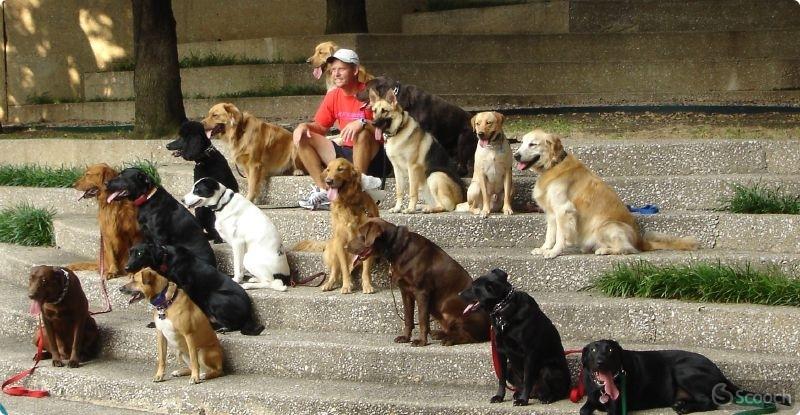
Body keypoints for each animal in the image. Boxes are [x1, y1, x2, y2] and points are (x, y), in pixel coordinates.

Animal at [122, 242, 262, 336]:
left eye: (140, 253)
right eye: (130, 253)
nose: (126, 268)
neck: (165, 260)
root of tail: (249, 313)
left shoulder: (185, 287)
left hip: (215, 296)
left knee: (233, 324)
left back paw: (220, 328)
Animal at [348, 218, 490, 348]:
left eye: (361, 234)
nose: (345, 247)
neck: (398, 247)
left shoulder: (422, 292)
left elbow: (422, 320)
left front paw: (422, 341)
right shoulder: (405, 292)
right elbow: (408, 318)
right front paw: (406, 337)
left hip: (457, 310)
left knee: (469, 336)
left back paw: (449, 340)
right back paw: (439, 334)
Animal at [460, 270, 572, 406]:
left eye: (474, 288)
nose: (458, 294)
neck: (503, 311)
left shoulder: (529, 353)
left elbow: (528, 379)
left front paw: (523, 400)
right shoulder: (500, 352)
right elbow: (501, 379)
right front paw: (499, 396)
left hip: (548, 370)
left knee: (557, 392)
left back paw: (546, 397)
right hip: (510, 367)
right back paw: (520, 393)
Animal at [516, 131, 696, 260]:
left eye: (532, 144)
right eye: (521, 142)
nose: (516, 155)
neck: (553, 166)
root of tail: (641, 241)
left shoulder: (563, 210)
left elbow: (560, 235)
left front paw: (554, 252)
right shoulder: (552, 213)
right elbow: (550, 234)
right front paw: (544, 248)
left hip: (606, 227)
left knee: (629, 249)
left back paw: (605, 250)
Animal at [580, 342, 792, 415]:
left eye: (610, 350)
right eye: (592, 350)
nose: (600, 362)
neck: (601, 388)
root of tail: (721, 374)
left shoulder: (616, 408)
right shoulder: (591, 400)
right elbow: (583, 409)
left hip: (682, 370)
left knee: (710, 402)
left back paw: (684, 408)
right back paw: (682, 404)